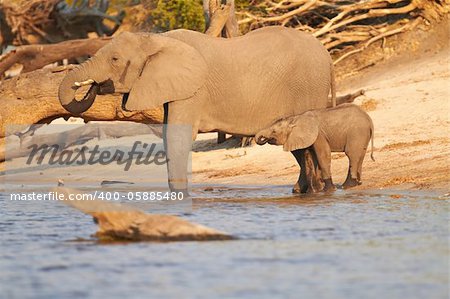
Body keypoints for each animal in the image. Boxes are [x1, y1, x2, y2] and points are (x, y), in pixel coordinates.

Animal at [57, 26, 334, 195]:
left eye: (115, 60)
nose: (95, 85)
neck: (157, 38)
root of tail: (328, 54)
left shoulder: (193, 91)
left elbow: (178, 135)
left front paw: (180, 196)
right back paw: (301, 191)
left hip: (308, 88)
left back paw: (315, 190)